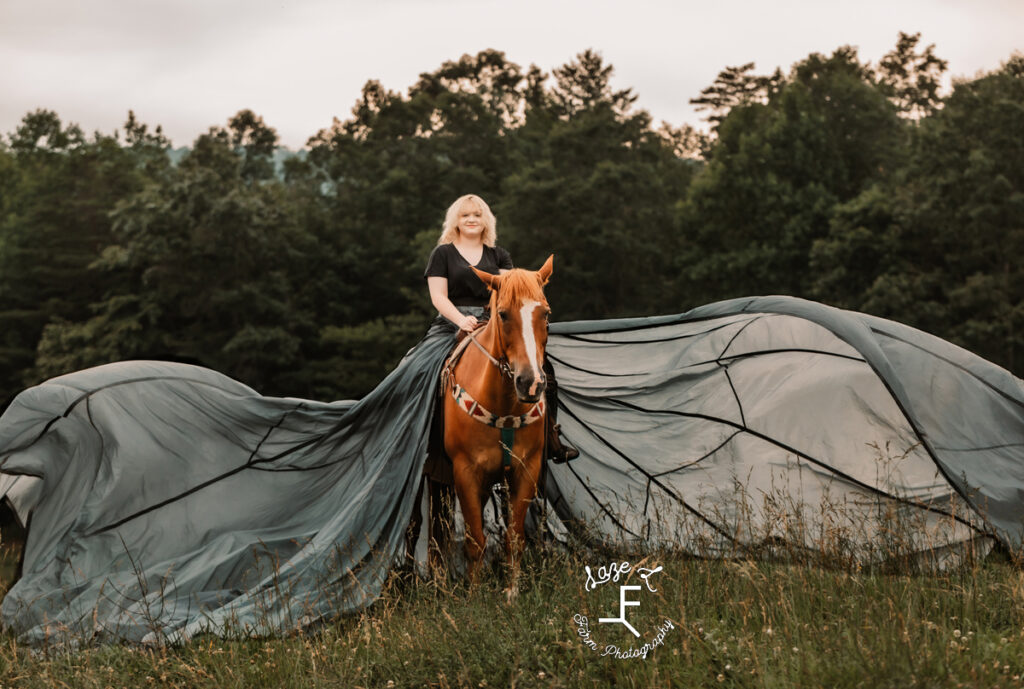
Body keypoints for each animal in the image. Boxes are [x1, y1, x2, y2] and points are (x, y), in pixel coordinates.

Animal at [440, 252, 552, 589]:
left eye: (546, 314)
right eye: (502, 314)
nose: (531, 383)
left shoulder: (526, 469)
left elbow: (514, 539)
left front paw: (511, 594)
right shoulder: (465, 473)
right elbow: (475, 542)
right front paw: (475, 595)